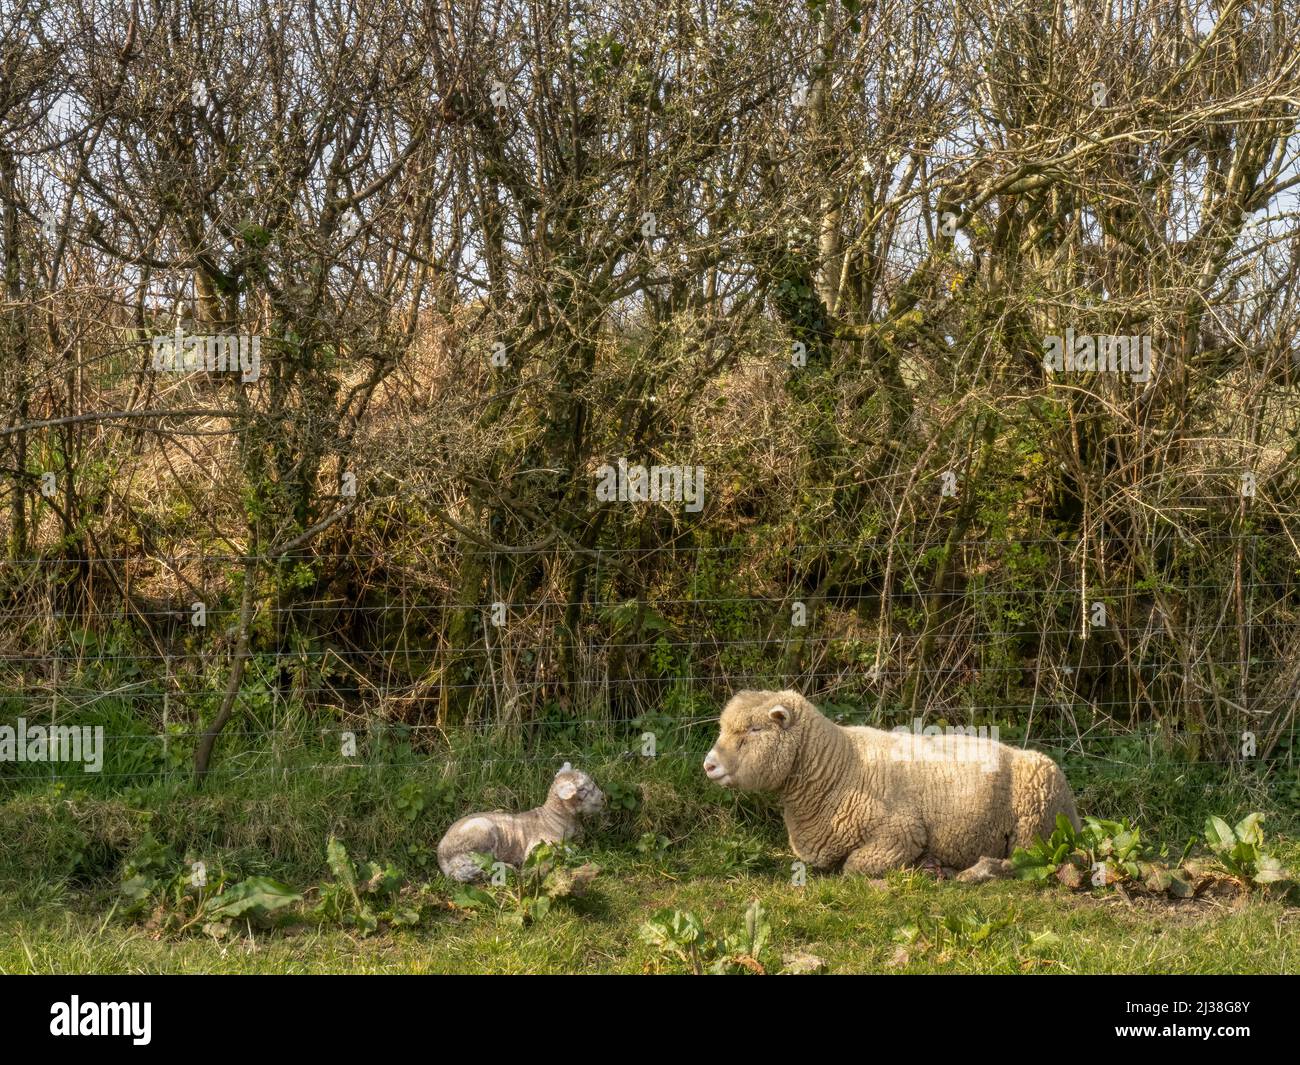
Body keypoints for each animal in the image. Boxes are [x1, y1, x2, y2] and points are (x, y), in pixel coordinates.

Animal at [431, 764, 603, 889]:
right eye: (582, 789)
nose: (603, 798)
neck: (553, 818)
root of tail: (441, 856)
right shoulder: (539, 845)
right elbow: (569, 851)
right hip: (479, 837)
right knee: (480, 865)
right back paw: (509, 869)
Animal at [707, 686, 1081, 879]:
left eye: (755, 730)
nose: (709, 764)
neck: (841, 768)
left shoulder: (901, 832)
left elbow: (854, 867)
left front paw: (919, 866)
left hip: (1035, 824)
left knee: (1025, 859)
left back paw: (975, 871)